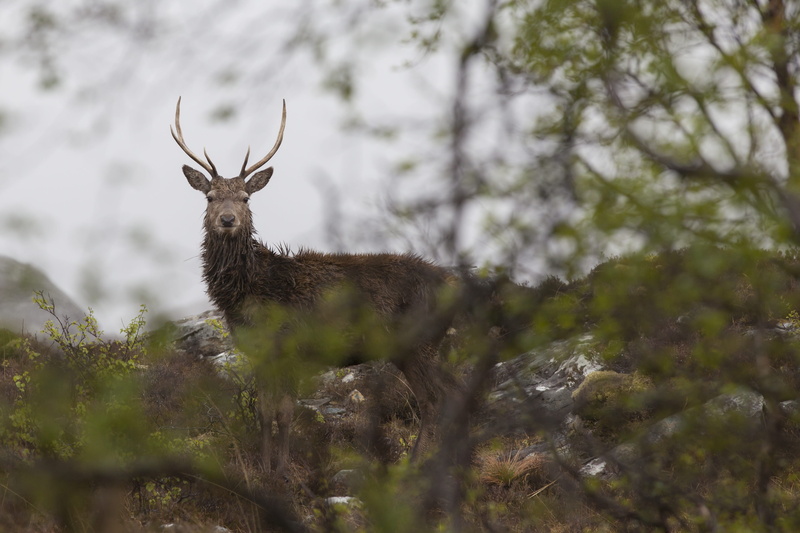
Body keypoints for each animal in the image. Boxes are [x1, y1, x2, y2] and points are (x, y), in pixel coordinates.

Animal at [170, 98, 466, 475]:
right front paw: (264, 467)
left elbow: (284, 412)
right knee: (451, 393)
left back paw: (419, 464)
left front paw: (282, 471)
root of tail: (456, 286)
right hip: (417, 347)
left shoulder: (290, 346)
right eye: (209, 197)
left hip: (419, 341)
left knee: (436, 398)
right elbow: (264, 412)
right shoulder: (259, 352)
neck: (249, 292)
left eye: (245, 198)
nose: (227, 219)